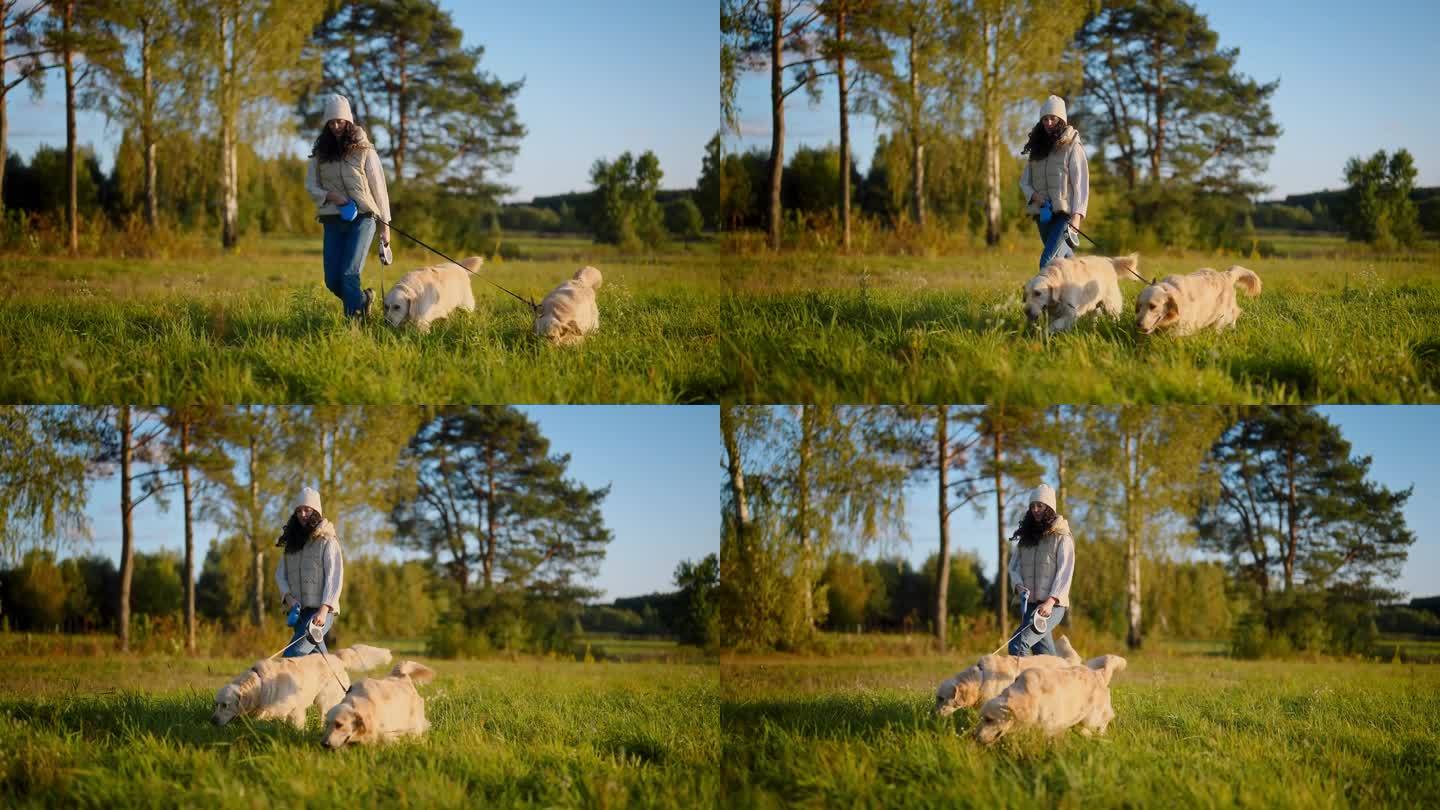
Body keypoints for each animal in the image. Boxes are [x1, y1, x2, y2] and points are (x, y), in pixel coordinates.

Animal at [973, 651, 1128, 743]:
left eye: (989, 719)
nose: (975, 738)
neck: (1031, 697)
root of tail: (1099, 673)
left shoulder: (1051, 726)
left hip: (1092, 717)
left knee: (1104, 720)